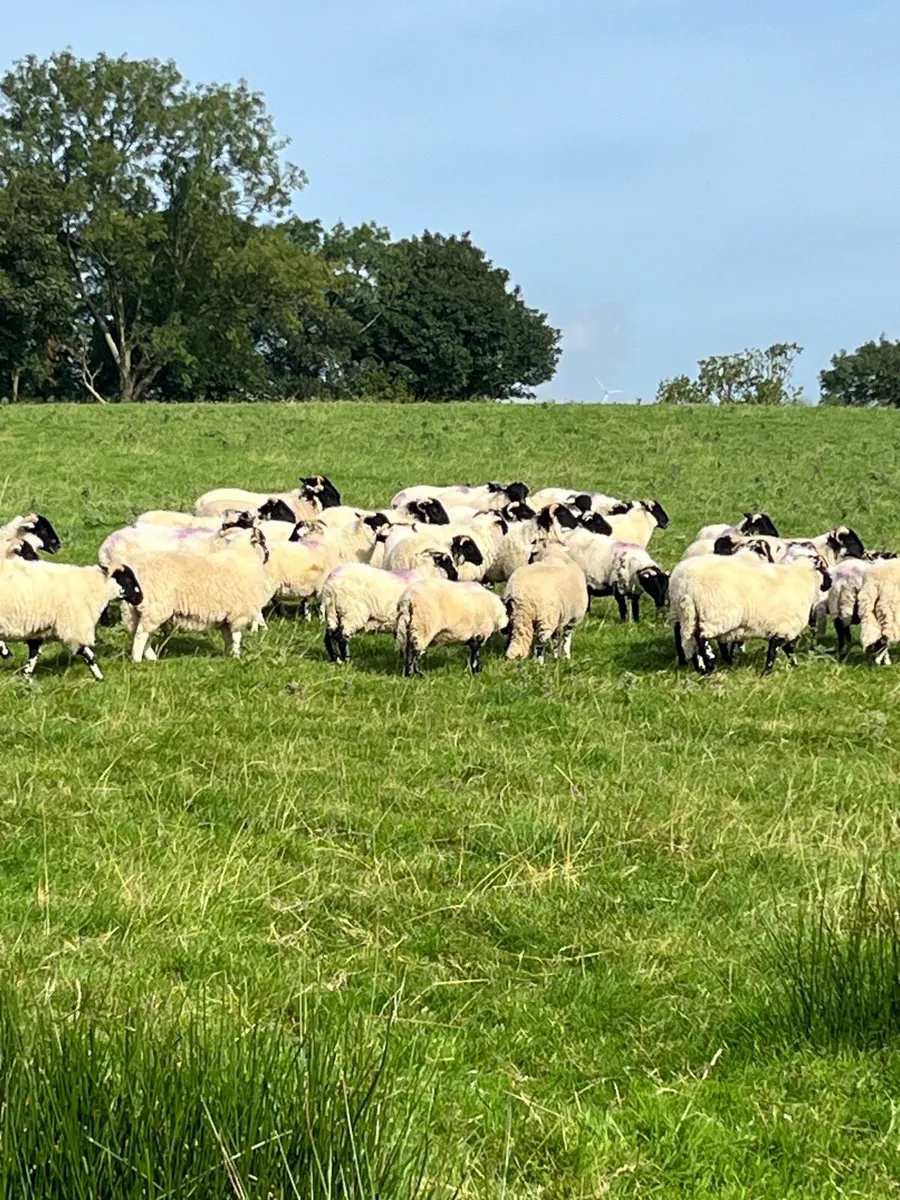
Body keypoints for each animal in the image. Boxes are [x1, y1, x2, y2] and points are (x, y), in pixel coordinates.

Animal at [0, 557, 143, 679]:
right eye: (128, 580)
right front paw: (99, 677)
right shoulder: (73, 628)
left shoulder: (40, 630)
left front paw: (26, 678)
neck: (94, 588)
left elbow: (34, 654)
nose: (140, 598)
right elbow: (89, 654)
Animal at [121, 528, 273, 662]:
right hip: (155, 608)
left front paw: (227, 655)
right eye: (263, 541)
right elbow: (236, 637)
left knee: (140, 633)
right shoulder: (239, 614)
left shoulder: (226, 619)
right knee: (141, 634)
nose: (268, 556)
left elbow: (228, 638)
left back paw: (151, 658)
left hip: (132, 611)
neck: (243, 556)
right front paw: (236, 657)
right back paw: (137, 660)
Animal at [320, 549, 458, 663]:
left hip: (334, 611)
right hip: (352, 611)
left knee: (329, 635)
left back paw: (335, 659)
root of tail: (330, 585)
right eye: (448, 562)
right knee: (341, 636)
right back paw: (346, 660)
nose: (456, 576)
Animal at [669, 550, 831, 674]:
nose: (828, 584)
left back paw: (700, 667)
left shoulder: (782, 628)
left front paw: (794, 667)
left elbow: (786, 649)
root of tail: (684, 584)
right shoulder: (785, 627)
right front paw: (767, 672)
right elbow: (776, 650)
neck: (803, 578)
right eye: (824, 568)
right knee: (700, 637)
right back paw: (710, 665)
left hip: (686, 614)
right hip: (715, 615)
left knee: (686, 639)